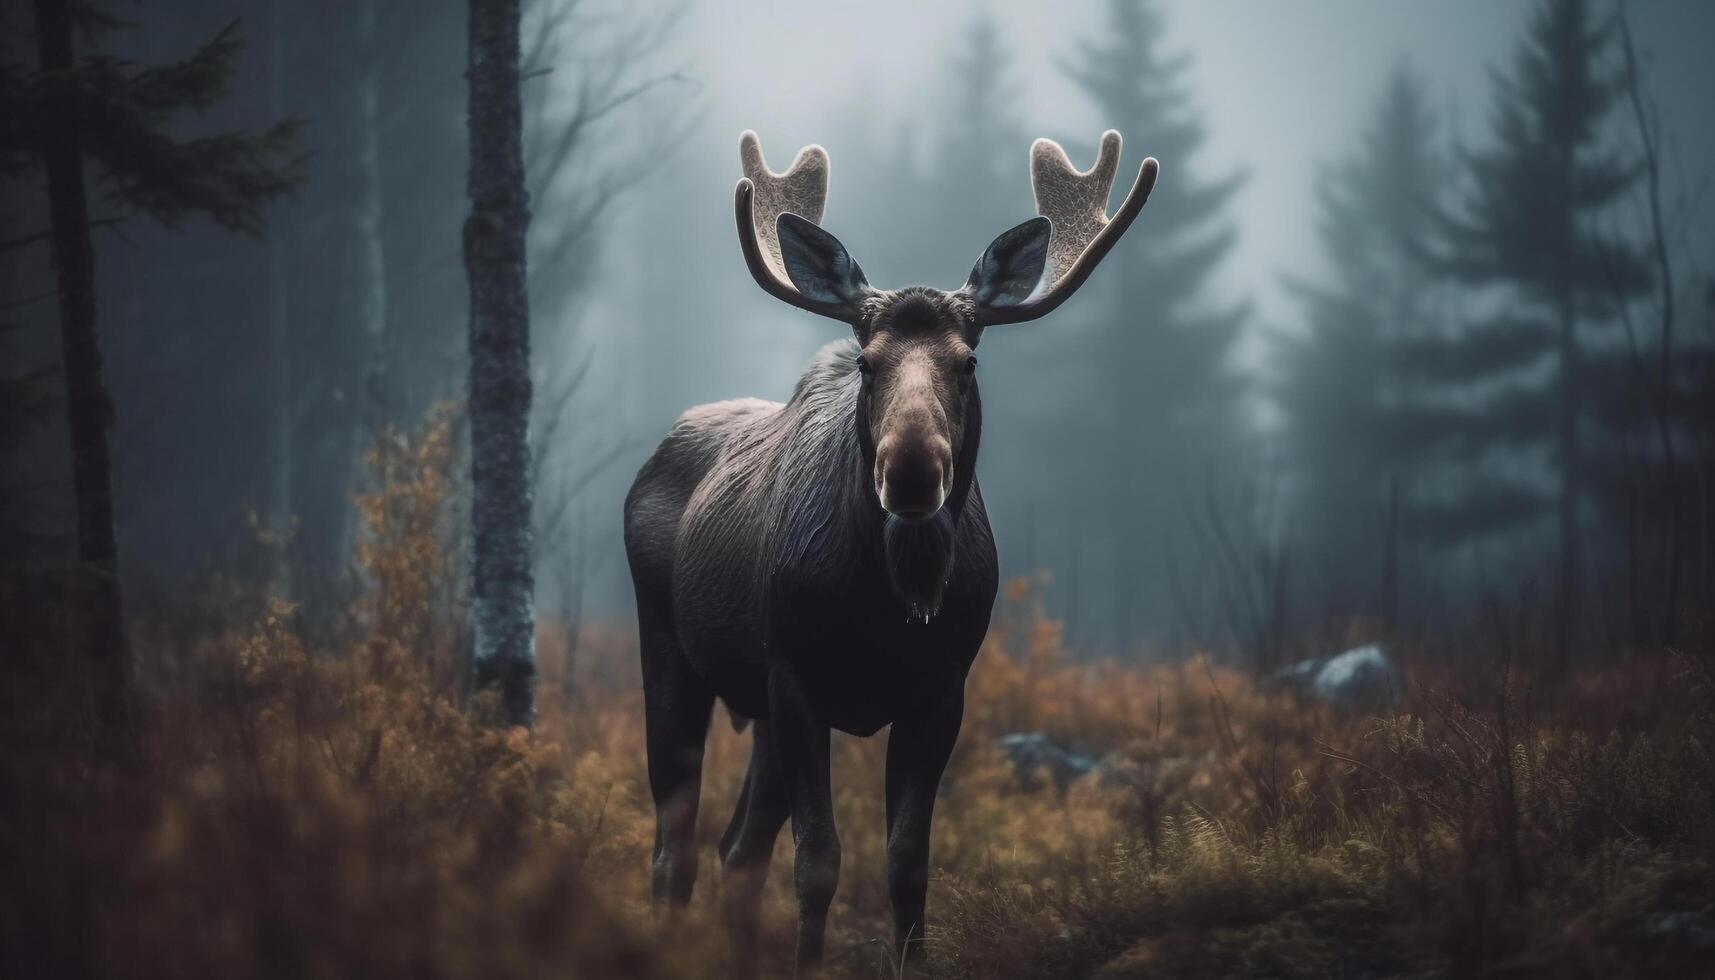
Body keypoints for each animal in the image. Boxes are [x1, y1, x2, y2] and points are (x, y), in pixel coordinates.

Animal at [624, 130, 1159, 974]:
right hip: (671, 651)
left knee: (737, 849)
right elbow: (818, 863)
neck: (887, 604)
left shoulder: (940, 687)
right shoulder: (797, 678)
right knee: (673, 846)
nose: (910, 471)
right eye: (867, 361)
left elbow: (907, 862)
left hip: (757, 709)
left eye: (967, 362)